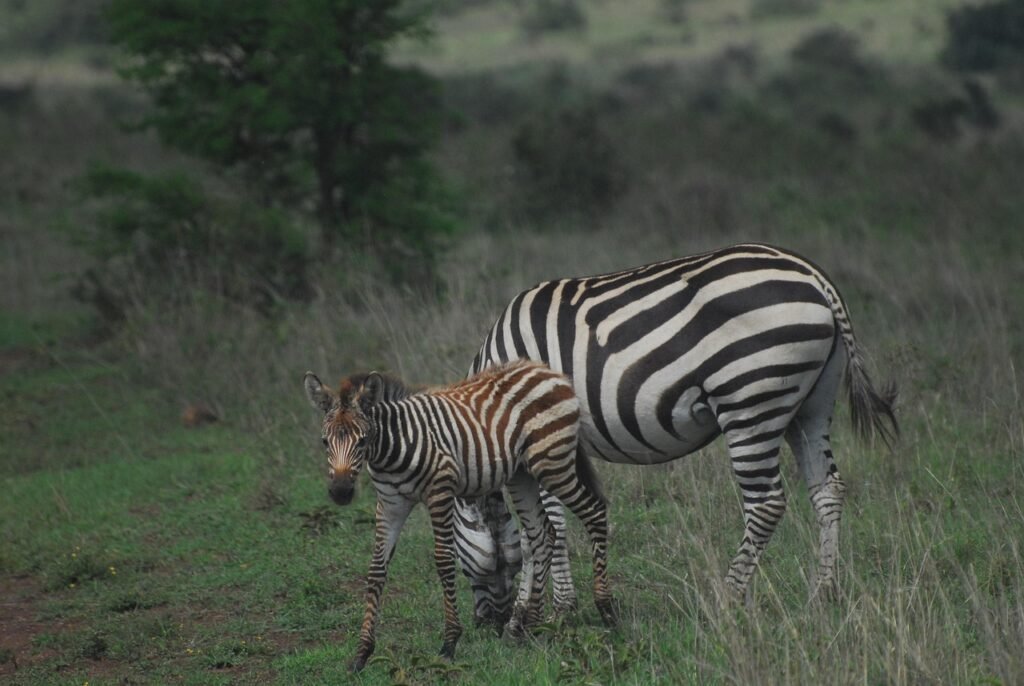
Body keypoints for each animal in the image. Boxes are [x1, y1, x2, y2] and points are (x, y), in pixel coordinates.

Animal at [302, 360, 615, 672]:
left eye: (363, 440)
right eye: (324, 442)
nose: (341, 493)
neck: (394, 446)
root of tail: (544, 370)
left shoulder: (440, 491)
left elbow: (443, 561)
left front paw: (449, 644)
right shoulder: (391, 504)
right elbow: (377, 569)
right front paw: (362, 653)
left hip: (551, 463)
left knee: (594, 512)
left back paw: (607, 610)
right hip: (522, 474)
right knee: (542, 534)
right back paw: (531, 626)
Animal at [455, 242, 898, 624]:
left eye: (457, 559)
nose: (486, 623)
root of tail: (815, 277)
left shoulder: (541, 435)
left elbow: (548, 525)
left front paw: (556, 607)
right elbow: (548, 525)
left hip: (750, 399)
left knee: (766, 505)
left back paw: (727, 599)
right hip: (810, 407)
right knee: (827, 490)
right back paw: (822, 595)